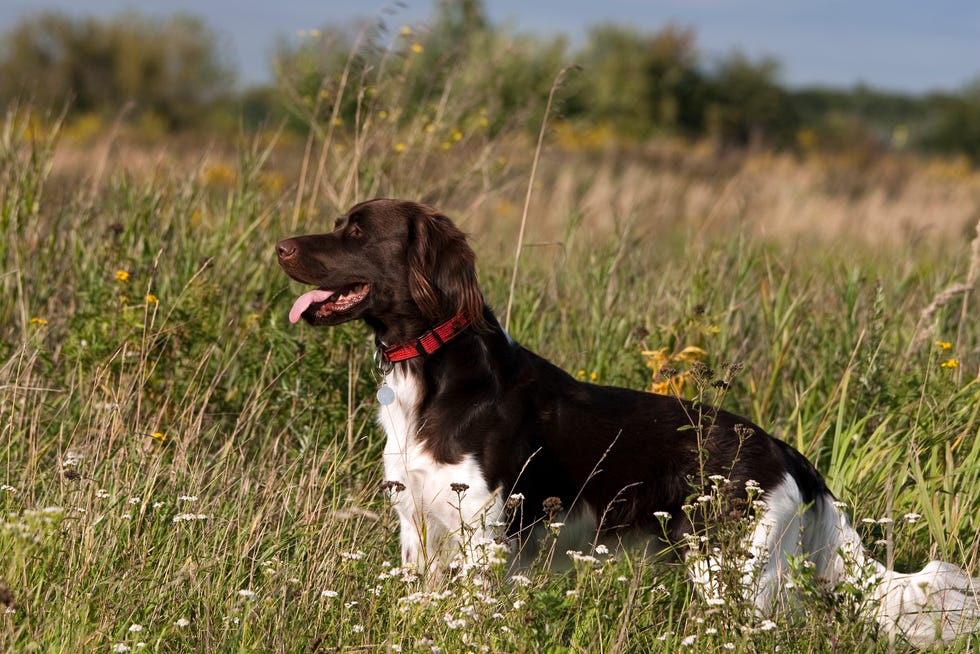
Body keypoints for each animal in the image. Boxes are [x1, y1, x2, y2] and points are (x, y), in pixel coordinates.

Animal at [280, 197, 976, 648]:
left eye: (356, 232)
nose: (280, 246)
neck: (433, 378)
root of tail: (784, 451)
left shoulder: (483, 535)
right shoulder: (416, 527)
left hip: (733, 572)